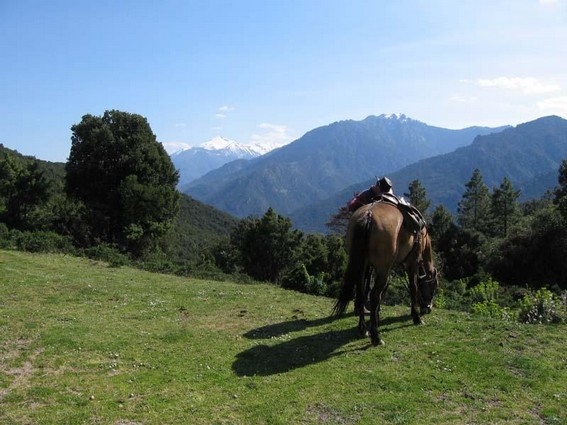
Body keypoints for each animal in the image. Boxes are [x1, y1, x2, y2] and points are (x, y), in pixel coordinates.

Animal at [332, 201, 440, 344]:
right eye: (434, 287)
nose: (428, 308)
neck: (423, 235)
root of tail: (368, 216)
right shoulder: (412, 262)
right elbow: (413, 287)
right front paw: (416, 317)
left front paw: (376, 316)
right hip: (383, 268)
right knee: (374, 295)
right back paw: (376, 337)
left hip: (362, 264)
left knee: (361, 293)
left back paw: (363, 329)